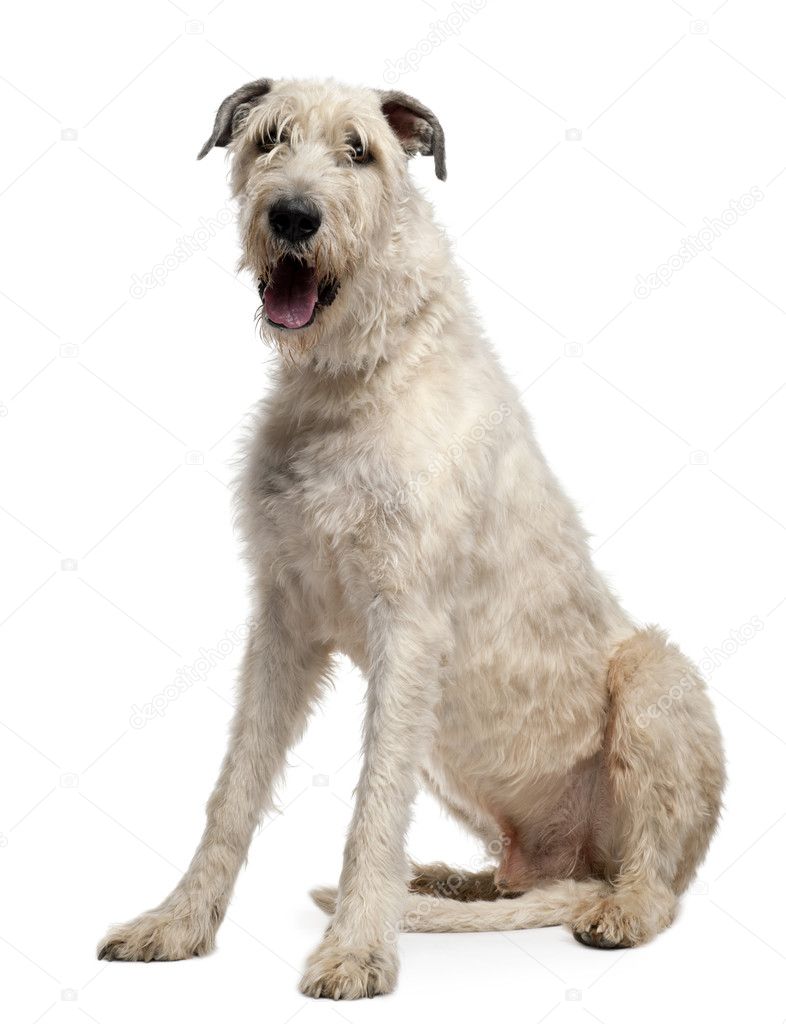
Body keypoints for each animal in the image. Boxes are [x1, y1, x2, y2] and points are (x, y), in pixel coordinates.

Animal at [96, 77, 724, 999]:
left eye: (359, 150)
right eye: (269, 138)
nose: (292, 216)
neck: (355, 370)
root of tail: (582, 867)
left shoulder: (412, 626)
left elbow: (376, 802)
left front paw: (357, 951)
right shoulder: (283, 619)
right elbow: (235, 786)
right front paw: (178, 923)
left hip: (656, 680)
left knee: (655, 877)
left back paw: (620, 909)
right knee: (518, 877)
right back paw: (451, 883)